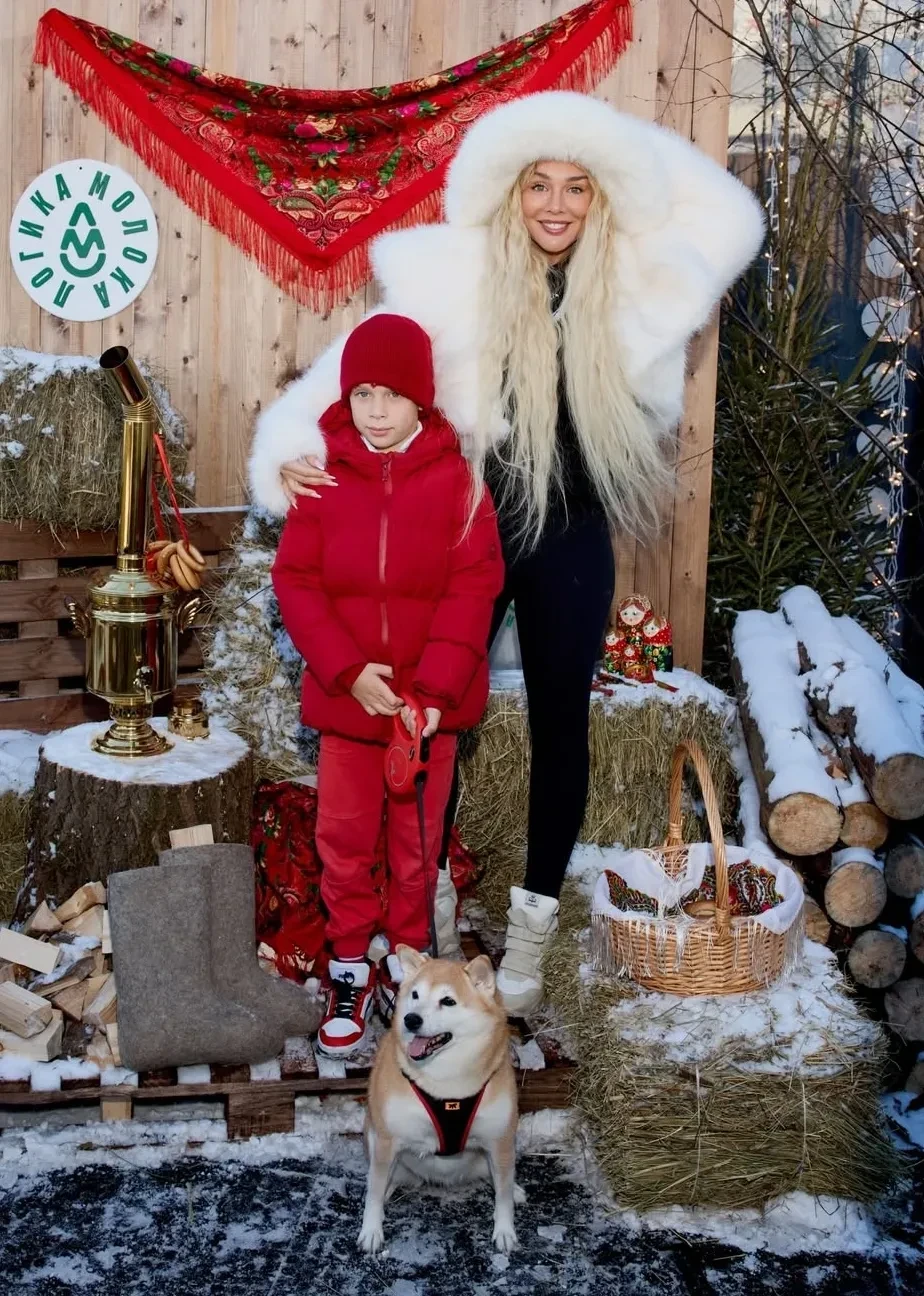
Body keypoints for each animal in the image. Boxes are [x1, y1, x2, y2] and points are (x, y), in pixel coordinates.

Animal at [358, 945, 520, 1255]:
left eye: (448, 1001)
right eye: (415, 995)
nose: (411, 1019)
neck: (447, 1087)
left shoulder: (500, 1140)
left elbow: (503, 1194)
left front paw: (505, 1229)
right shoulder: (386, 1140)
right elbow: (373, 1192)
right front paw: (371, 1230)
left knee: (500, 1178)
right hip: (374, 1138)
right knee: (381, 1179)